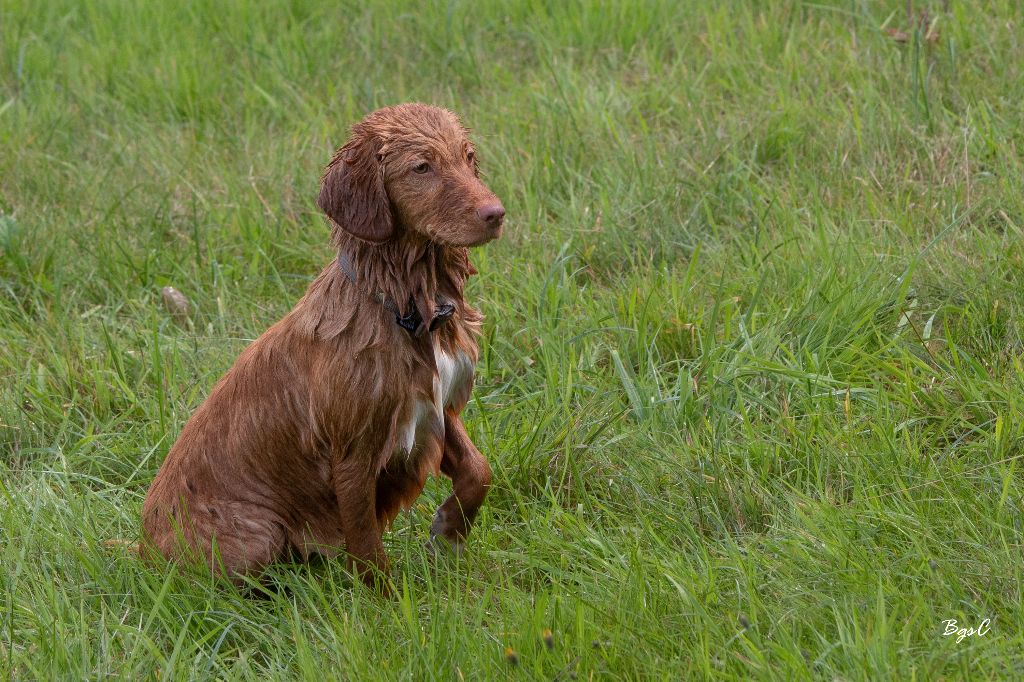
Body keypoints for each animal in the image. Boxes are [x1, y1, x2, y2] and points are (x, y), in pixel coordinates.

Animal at [141, 103, 503, 585]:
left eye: (468, 157)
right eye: (422, 167)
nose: (496, 213)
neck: (405, 306)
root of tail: (139, 551)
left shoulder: (434, 406)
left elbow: (480, 469)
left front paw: (448, 531)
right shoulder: (353, 450)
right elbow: (366, 546)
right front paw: (384, 599)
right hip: (258, 534)